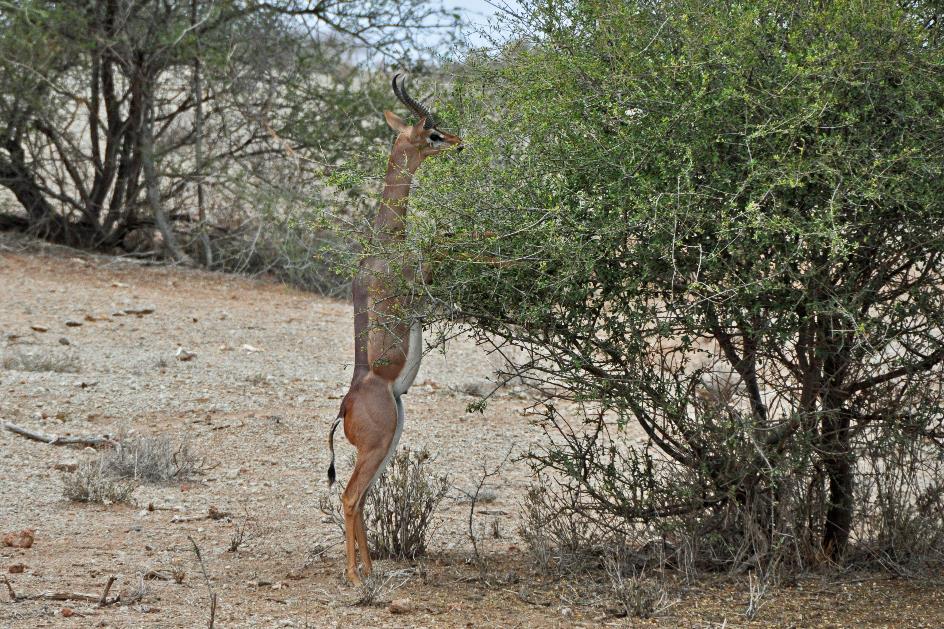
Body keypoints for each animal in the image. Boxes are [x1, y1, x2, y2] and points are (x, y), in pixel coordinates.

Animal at [326, 75, 462, 584]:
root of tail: (345, 407)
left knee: (362, 497)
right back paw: (352, 576)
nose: (459, 142)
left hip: (388, 443)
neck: (386, 241)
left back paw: (369, 569)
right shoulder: (422, 281)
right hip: (377, 447)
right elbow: (455, 246)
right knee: (349, 496)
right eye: (432, 133)